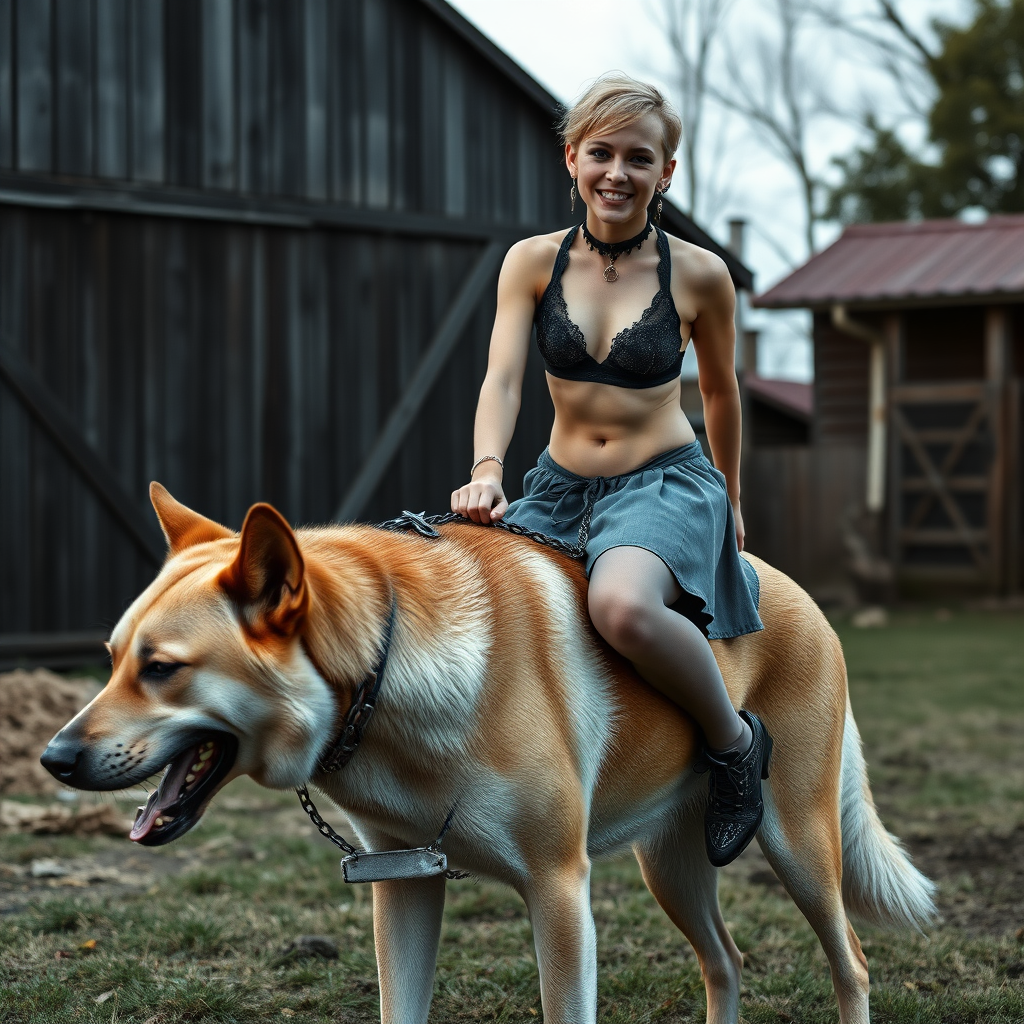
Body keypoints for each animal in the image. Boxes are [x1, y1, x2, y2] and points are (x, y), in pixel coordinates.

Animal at [41, 485, 937, 1024]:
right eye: (111, 658)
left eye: (161, 669)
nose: (53, 758)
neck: (388, 671)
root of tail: (795, 590)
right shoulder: (403, 884)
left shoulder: (560, 889)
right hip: (670, 867)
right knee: (726, 962)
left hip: (798, 844)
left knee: (853, 963)